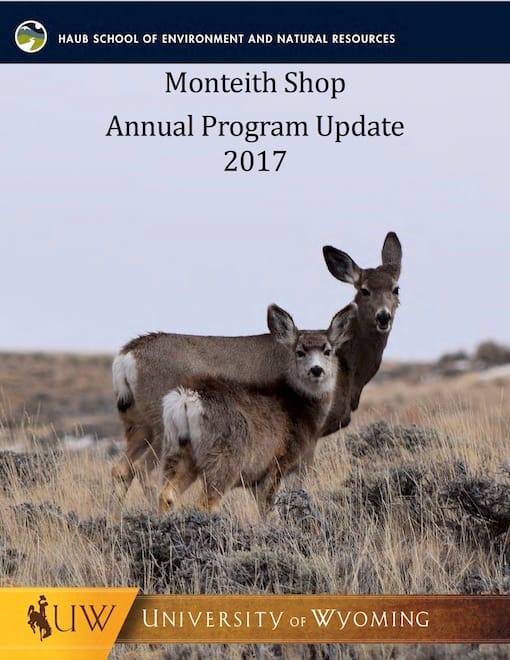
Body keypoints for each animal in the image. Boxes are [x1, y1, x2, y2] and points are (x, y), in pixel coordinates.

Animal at [159, 303, 357, 514]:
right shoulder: (278, 462)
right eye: (300, 351)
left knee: (167, 495)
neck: (299, 408)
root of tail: (188, 398)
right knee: (205, 503)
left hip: (176, 449)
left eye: (328, 351)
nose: (317, 369)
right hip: (226, 456)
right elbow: (271, 510)